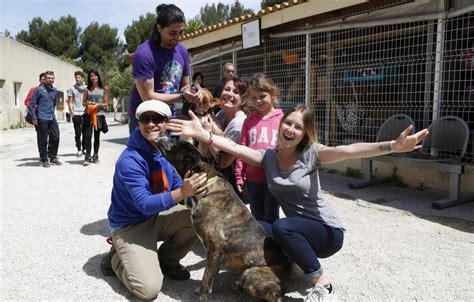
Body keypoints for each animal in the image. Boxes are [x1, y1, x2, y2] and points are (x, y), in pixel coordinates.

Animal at [156, 137, 290, 302]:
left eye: (175, 143)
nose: (162, 135)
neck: (205, 184)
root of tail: (285, 285)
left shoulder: (216, 244)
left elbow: (206, 277)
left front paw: (203, 296)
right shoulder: (215, 250)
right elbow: (212, 274)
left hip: (251, 274)